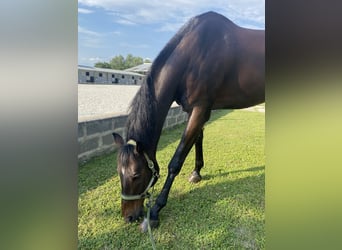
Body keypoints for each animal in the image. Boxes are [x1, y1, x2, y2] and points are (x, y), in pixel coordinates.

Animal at [112, 11, 264, 230]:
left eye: (136, 174)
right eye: (118, 172)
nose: (129, 217)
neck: (195, 55)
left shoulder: (200, 109)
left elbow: (176, 160)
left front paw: (156, 210)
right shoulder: (193, 110)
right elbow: (198, 139)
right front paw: (196, 173)